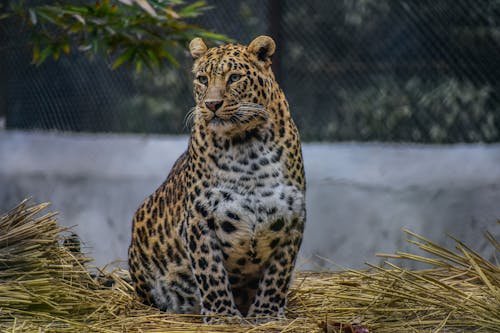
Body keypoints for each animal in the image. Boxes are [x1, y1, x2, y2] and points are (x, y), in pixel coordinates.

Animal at [128, 35, 304, 322]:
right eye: (202, 79)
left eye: (234, 78)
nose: (211, 104)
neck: (246, 148)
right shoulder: (200, 219)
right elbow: (211, 272)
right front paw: (223, 316)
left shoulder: (291, 217)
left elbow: (278, 274)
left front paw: (266, 314)